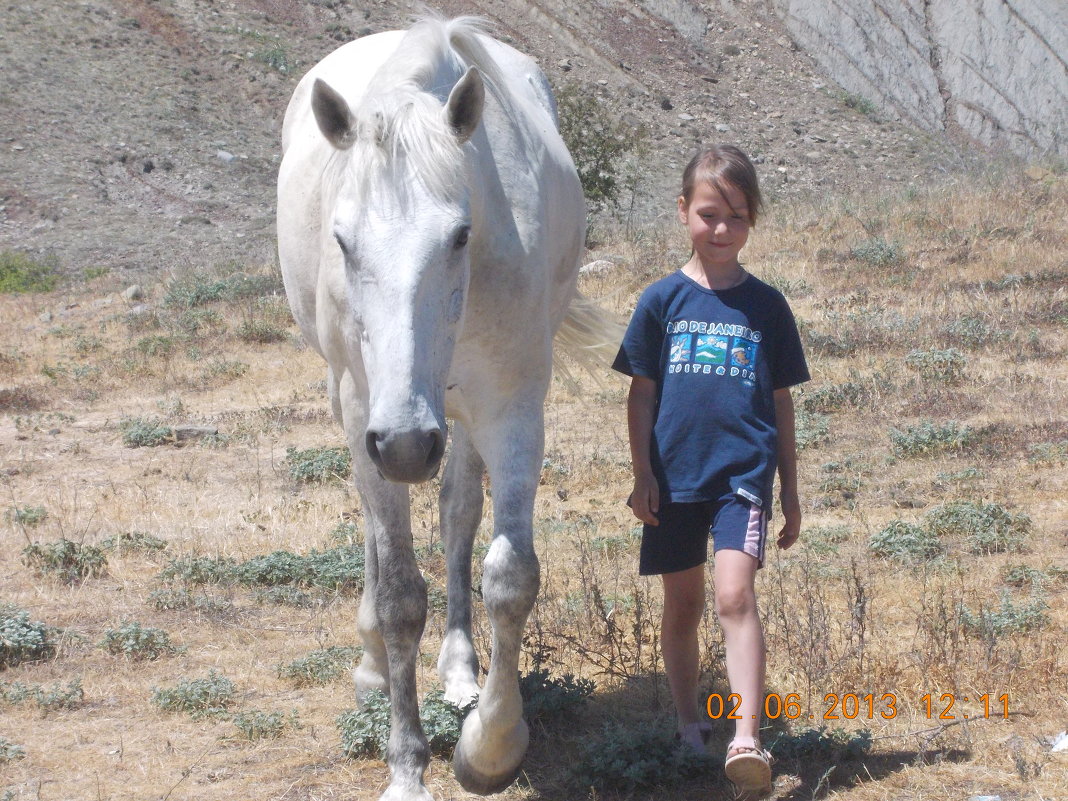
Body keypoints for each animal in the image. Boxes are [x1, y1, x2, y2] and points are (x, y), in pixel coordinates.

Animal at [275, 14, 610, 801]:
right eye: (342, 240)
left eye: (459, 235)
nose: (404, 445)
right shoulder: (366, 410)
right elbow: (401, 592)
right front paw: (406, 768)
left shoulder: (513, 407)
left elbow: (511, 576)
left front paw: (490, 745)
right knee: (376, 529)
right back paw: (372, 660)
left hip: (455, 416)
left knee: (458, 510)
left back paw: (460, 669)